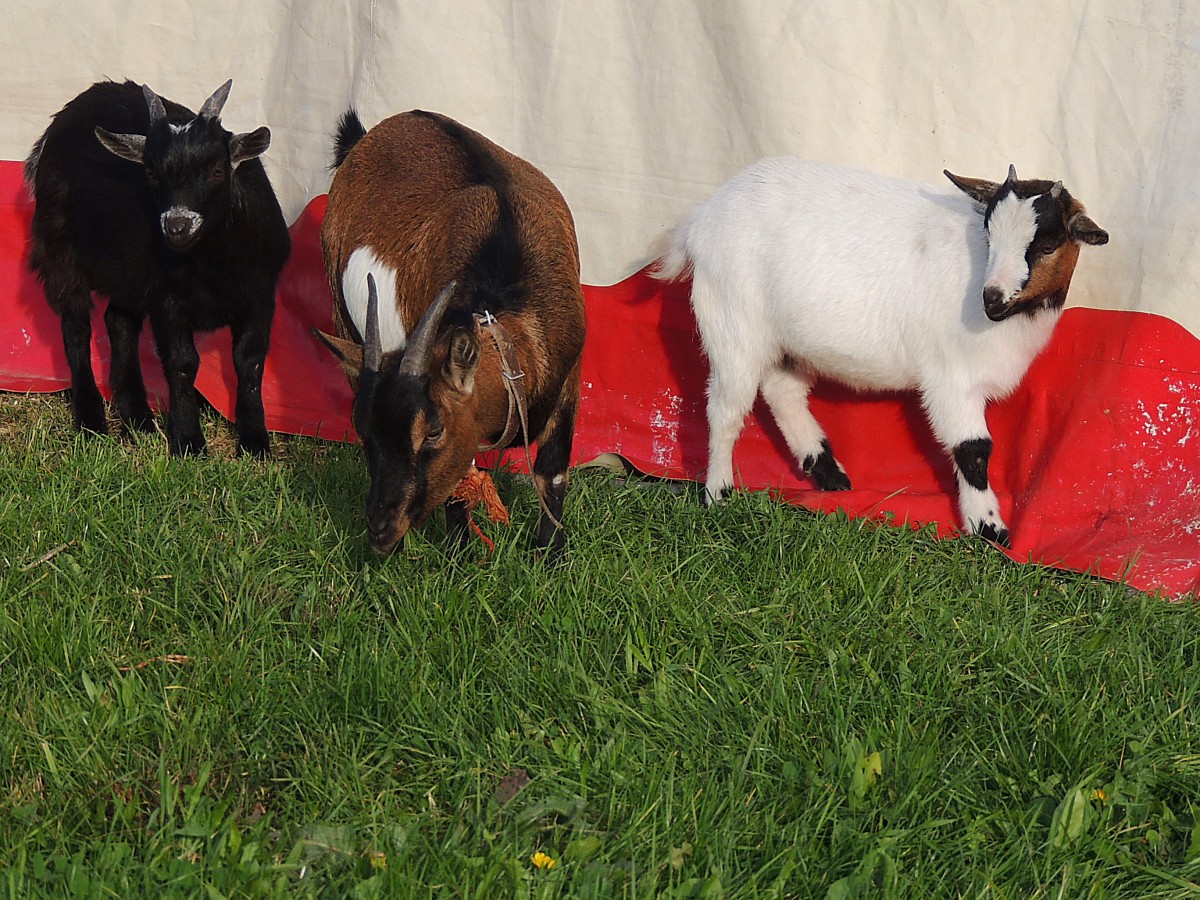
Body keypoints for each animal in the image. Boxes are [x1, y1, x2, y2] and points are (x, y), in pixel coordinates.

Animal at [24, 79, 290, 458]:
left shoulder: (260, 296)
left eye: (217, 170)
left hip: (127, 271)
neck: (210, 266)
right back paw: (92, 421)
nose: (178, 226)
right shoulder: (168, 301)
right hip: (59, 250)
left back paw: (137, 418)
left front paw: (255, 443)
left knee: (118, 322)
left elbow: (249, 362)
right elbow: (182, 363)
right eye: (151, 172)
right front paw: (188, 441)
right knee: (76, 329)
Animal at [316, 109, 583, 554]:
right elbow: (461, 485)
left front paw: (549, 555)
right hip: (341, 312)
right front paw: (460, 556)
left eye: (434, 428)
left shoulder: (570, 381)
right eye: (363, 430)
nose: (380, 528)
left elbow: (553, 476)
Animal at [652, 158, 1108, 547]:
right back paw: (719, 494)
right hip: (733, 325)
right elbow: (973, 449)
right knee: (726, 411)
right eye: (989, 233)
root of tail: (703, 217)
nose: (991, 300)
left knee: (783, 393)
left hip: (786, 341)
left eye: (1047, 245)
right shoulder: (950, 378)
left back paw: (827, 472)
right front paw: (989, 528)